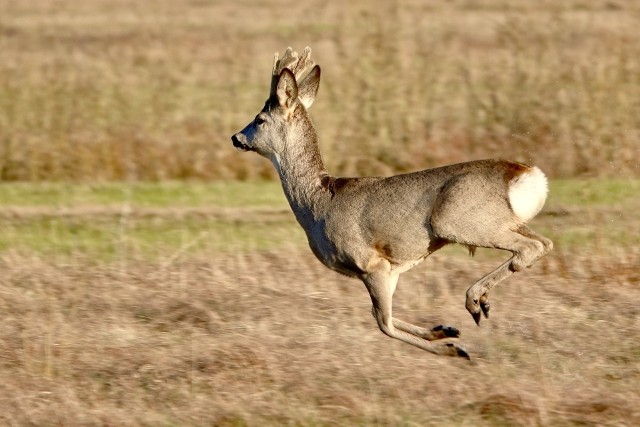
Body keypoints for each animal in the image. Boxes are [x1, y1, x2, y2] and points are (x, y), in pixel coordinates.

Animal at [230, 48, 552, 360]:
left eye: (259, 119)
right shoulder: (393, 268)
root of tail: (526, 174)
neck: (317, 203)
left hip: (457, 220)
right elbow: (389, 317)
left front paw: (453, 349)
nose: (236, 137)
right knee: (544, 242)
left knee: (529, 247)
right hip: (504, 221)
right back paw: (479, 303)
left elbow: (383, 322)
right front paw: (444, 330)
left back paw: (474, 301)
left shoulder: (370, 262)